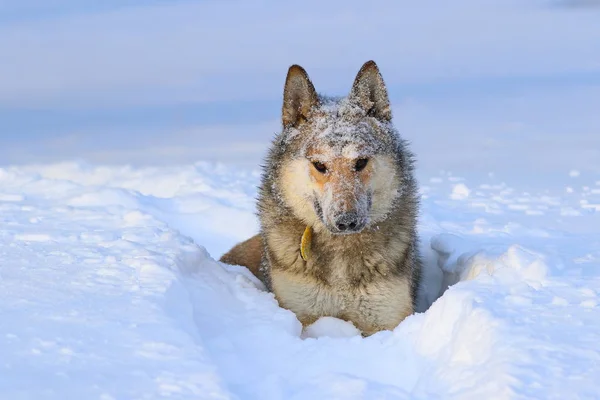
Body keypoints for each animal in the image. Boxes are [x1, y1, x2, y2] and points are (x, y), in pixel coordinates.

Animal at [220, 60, 422, 334]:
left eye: (360, 162)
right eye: (319, 165)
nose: (347, 221)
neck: (340, 254)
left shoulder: (387, 319)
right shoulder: (301, 314)